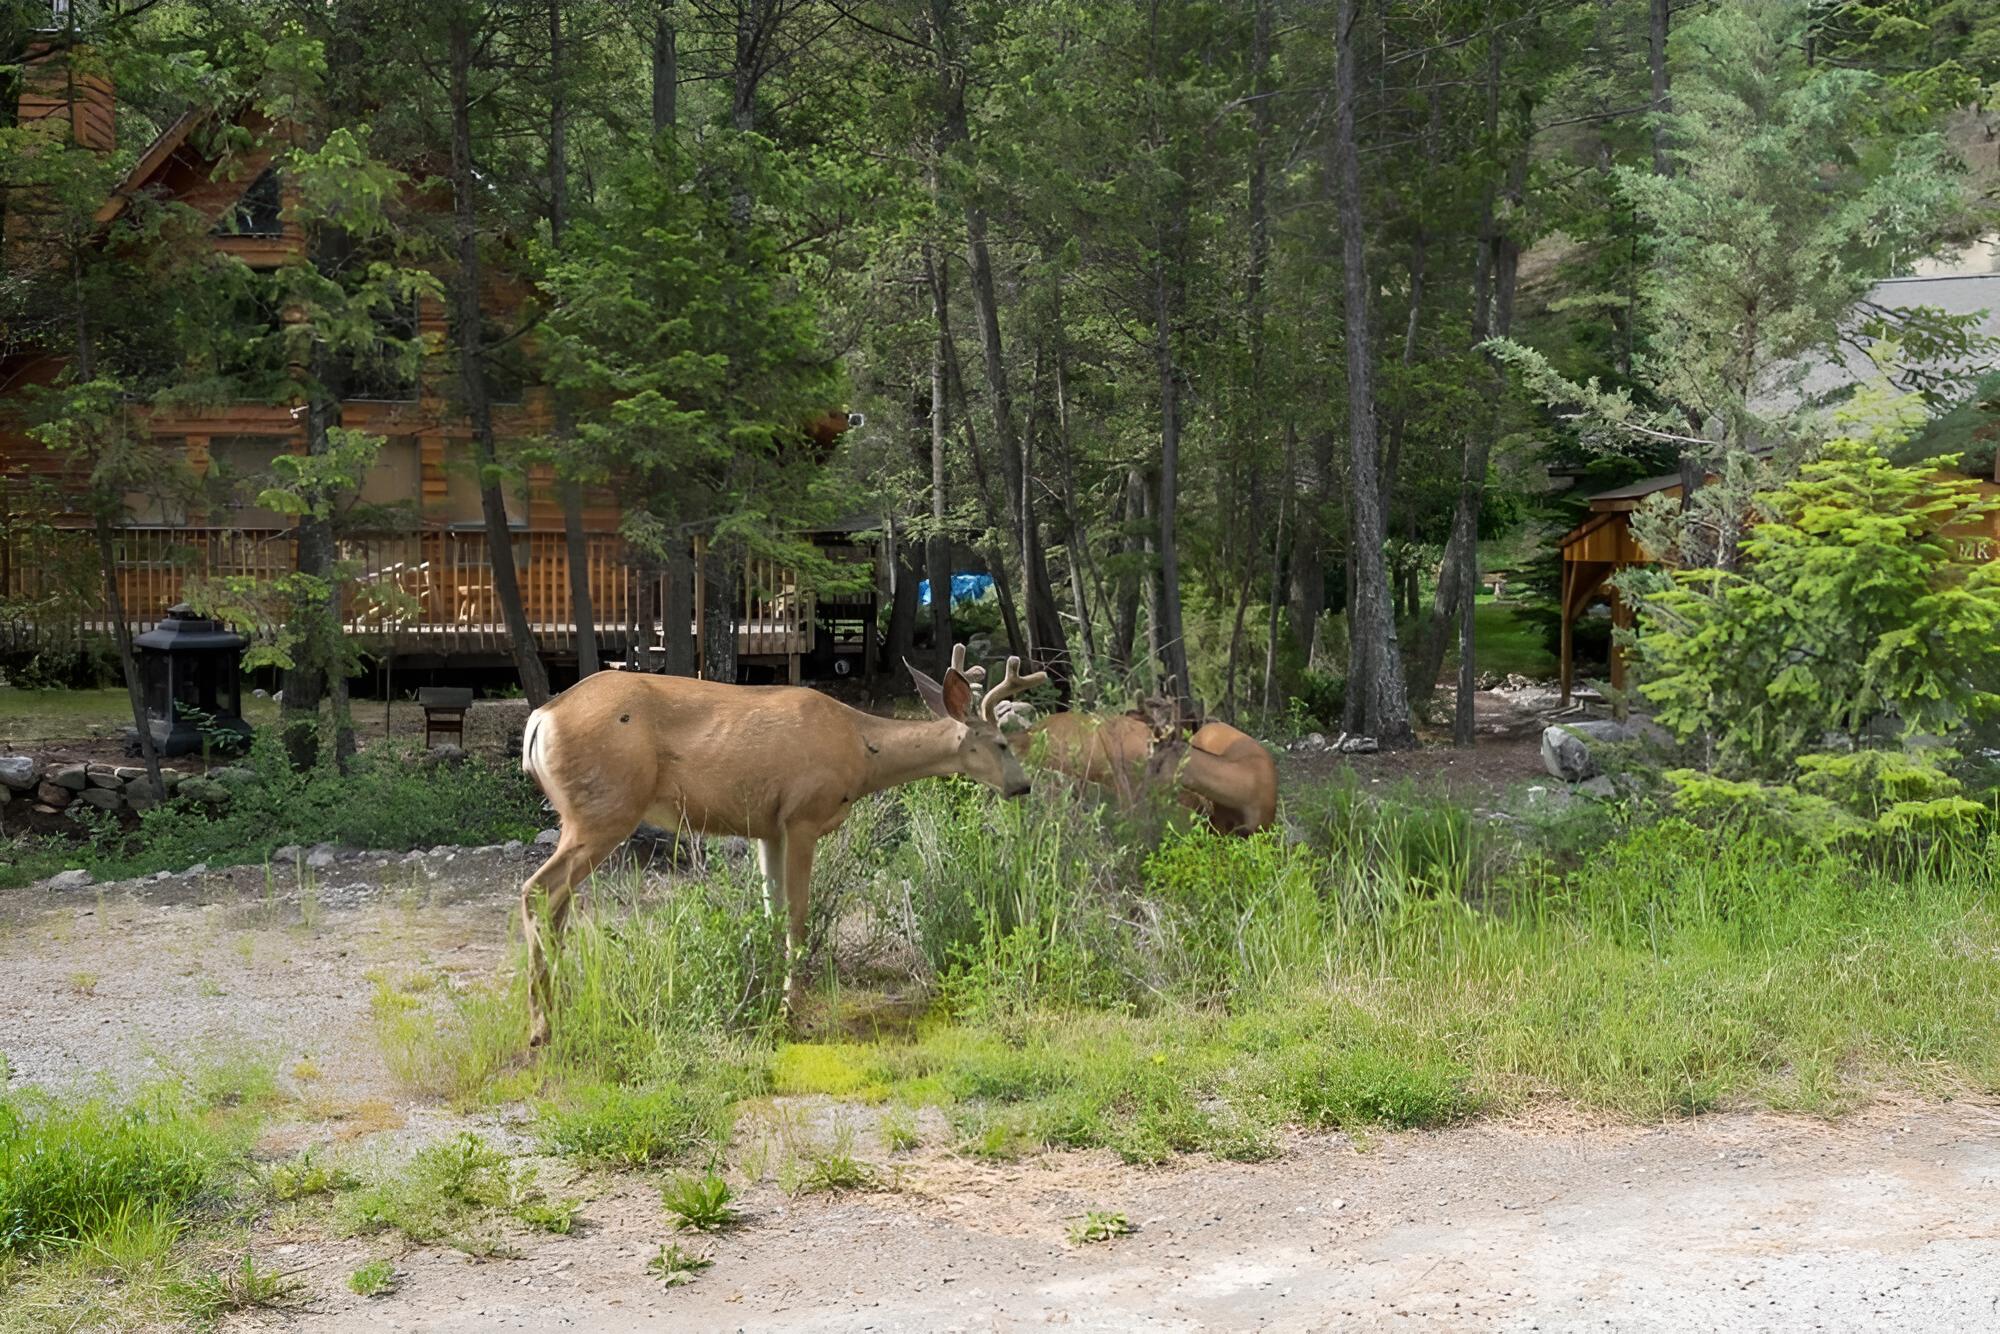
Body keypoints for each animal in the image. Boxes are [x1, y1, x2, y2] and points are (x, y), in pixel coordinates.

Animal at [516, 644, 1046, 1046]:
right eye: (1001, 743)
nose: (1023, 787)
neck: (862, 751)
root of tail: (540, 718)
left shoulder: (767, 828)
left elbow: (770, 912)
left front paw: (765, 997)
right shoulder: (802, 815)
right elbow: (797, 915)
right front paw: (792, 1009)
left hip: (583, 814)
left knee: (557, 905)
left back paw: (556, 1010)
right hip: (606, 809)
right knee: (538, 890)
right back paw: (541, 1028)